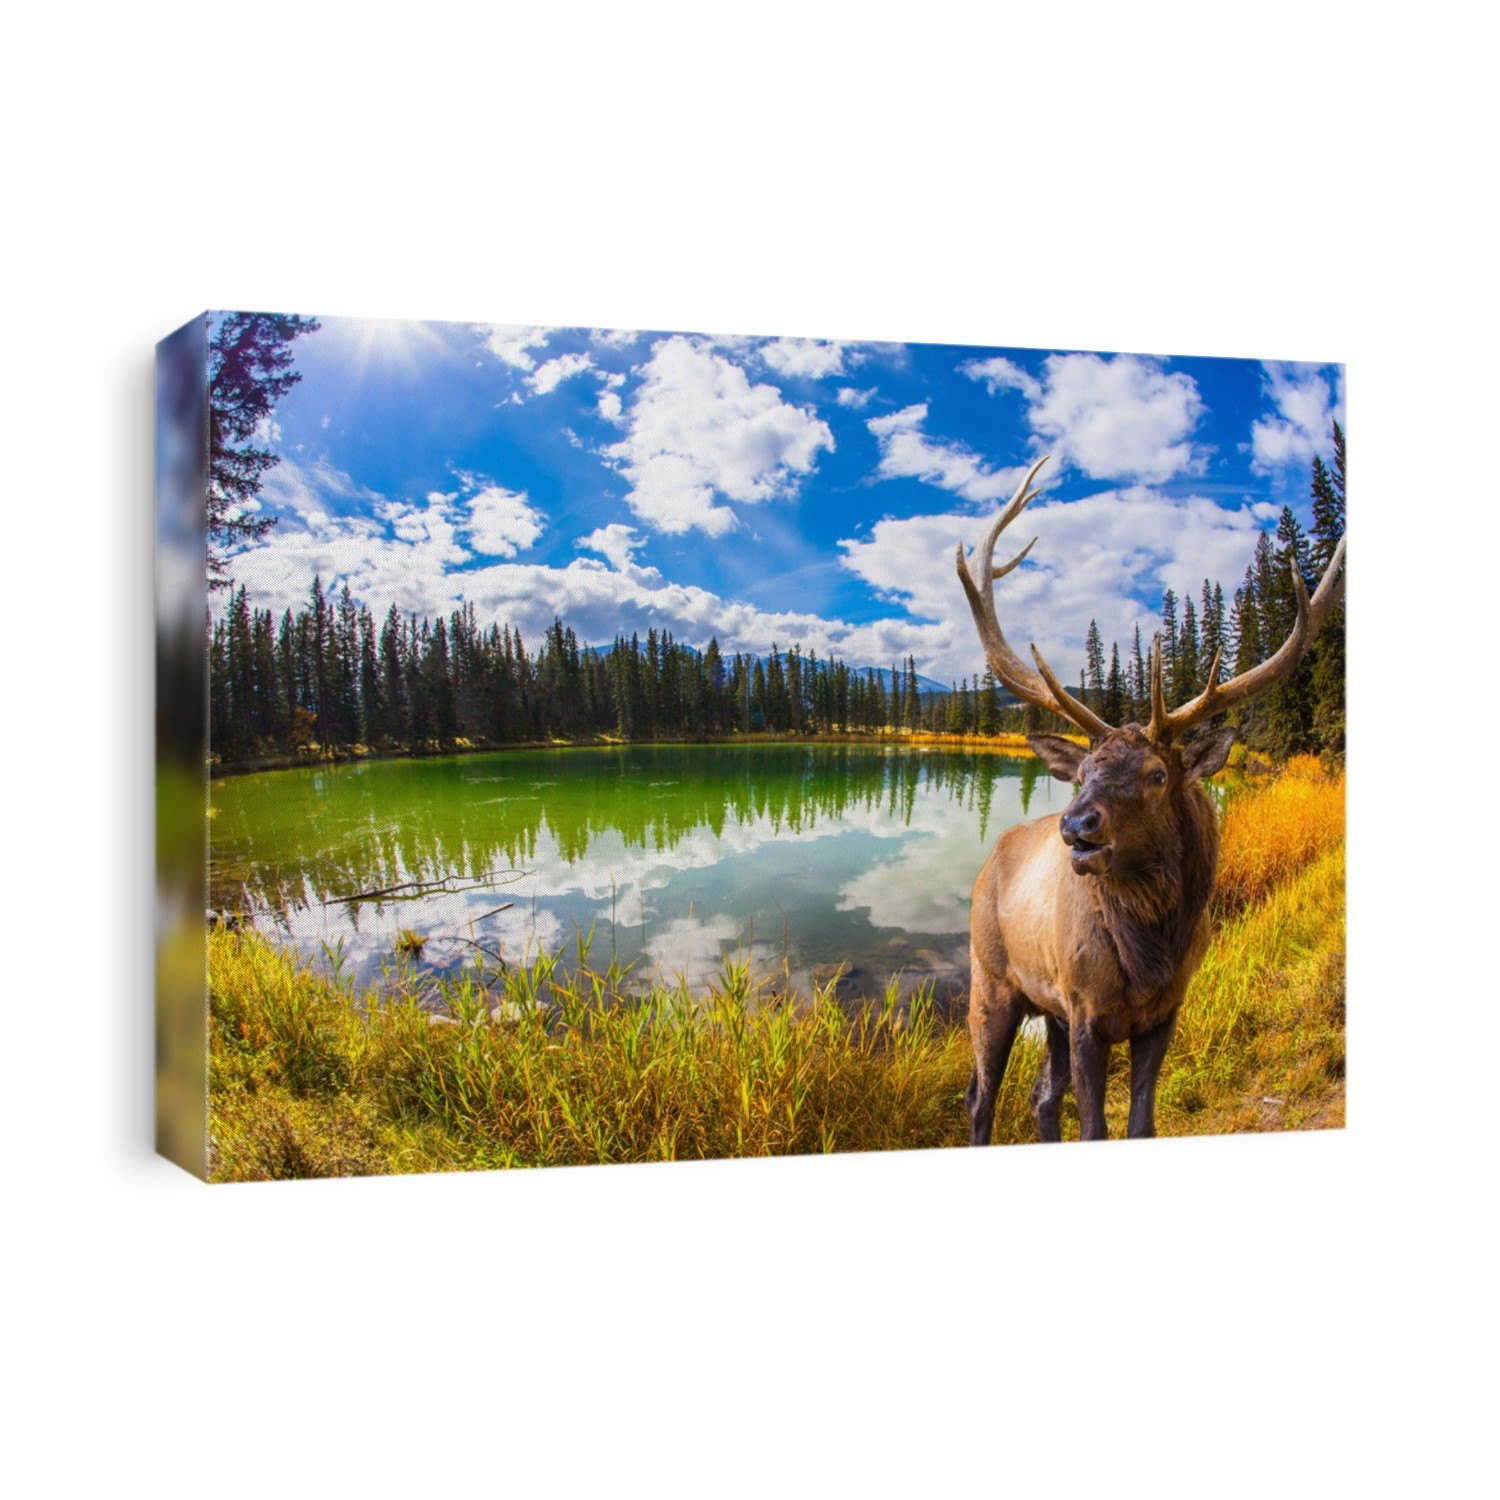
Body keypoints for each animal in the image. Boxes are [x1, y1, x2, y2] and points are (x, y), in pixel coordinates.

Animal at [955, 455, 1345, 1144]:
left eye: (1158, 775)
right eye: (1082, 770)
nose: (1077, 826)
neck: (1149, 958)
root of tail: (989, 861)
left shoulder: (1163, 1011)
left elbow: (1141, 1124)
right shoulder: (1085, 1010)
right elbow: (1094, 1129)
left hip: (1047, 1011)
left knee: (1040, 1097)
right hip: (993, 980)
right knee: (981, 1096)